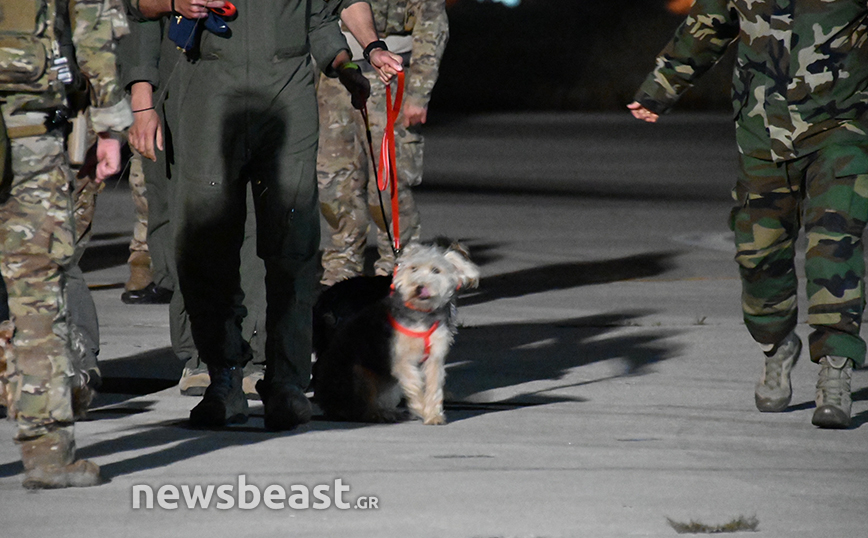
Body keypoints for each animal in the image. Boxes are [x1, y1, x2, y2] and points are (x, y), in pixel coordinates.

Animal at [312, 240, 479, 425]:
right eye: (414, 268)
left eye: (436, 270)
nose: (421, 286)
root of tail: (326, 299)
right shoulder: (401, 356)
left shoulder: (432, 353)